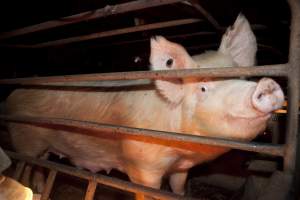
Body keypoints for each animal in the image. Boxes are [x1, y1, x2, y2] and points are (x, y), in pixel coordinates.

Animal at [5, 14, 284, 198]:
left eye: (243, 77)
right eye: (203, 88)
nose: (266, 85)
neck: (184, 150)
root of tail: (13, 94)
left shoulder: (181, 168)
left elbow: (178, 188)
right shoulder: (142, 167)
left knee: (40, 164)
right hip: (25, 141)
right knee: (26, 164)